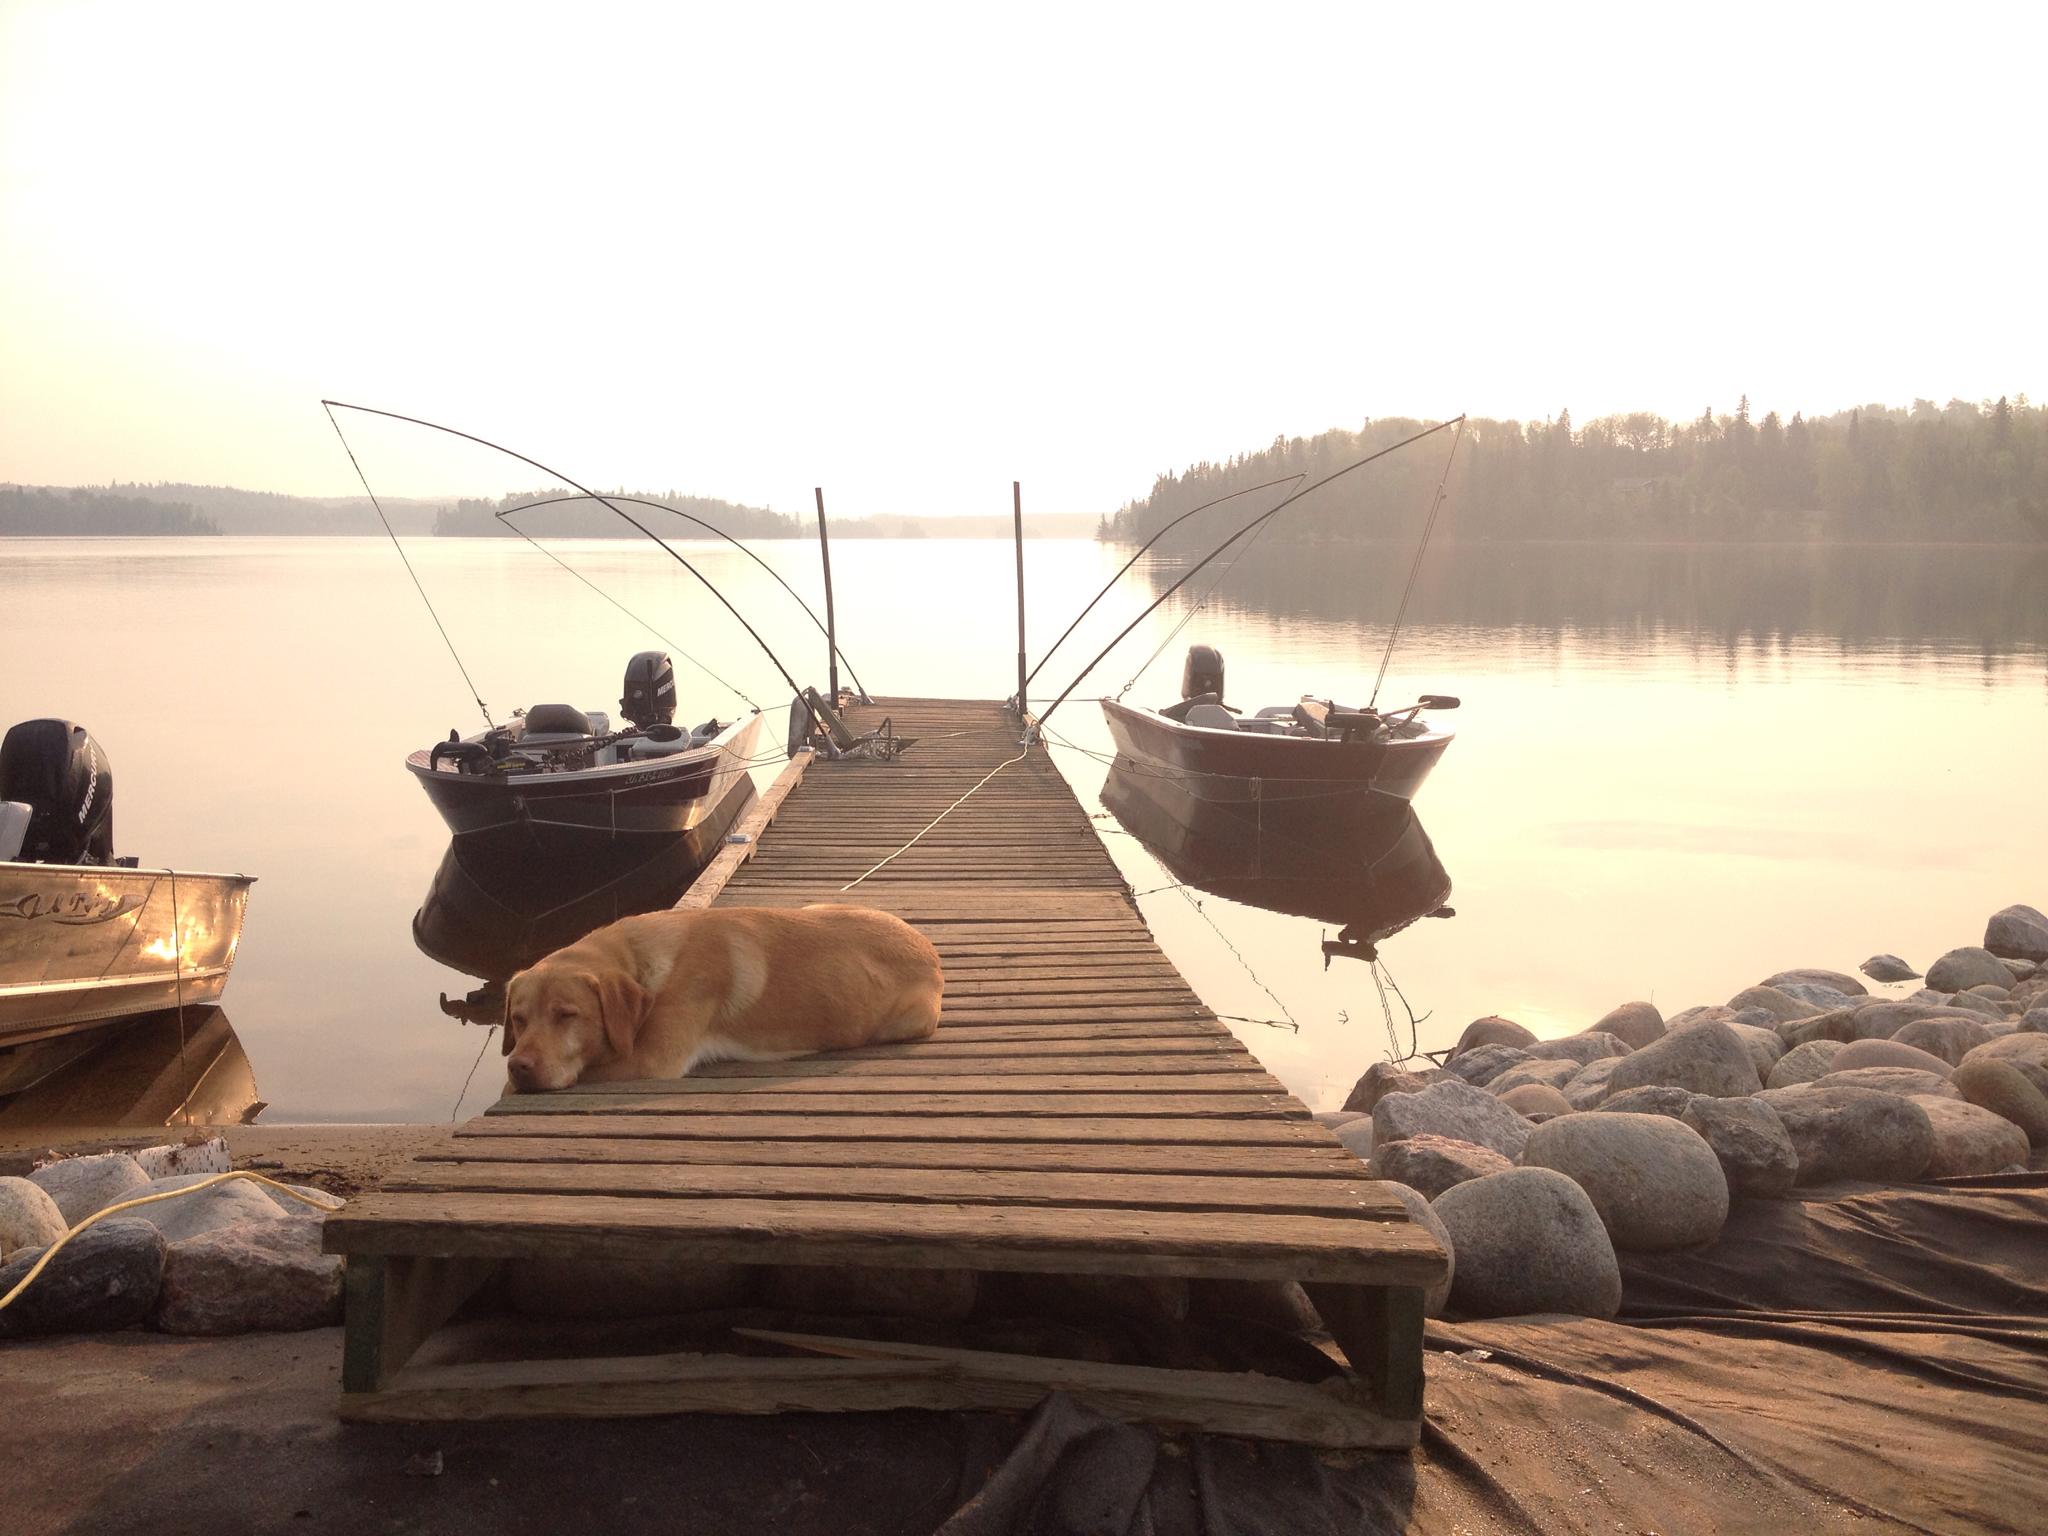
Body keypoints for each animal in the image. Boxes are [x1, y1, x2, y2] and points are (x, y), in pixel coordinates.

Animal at [499, 901, 937, 1097]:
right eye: (518, 1019)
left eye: (566, 1015)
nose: (518, 1065)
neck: (639, 960)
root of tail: (929, 948)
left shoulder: (650, 1060)